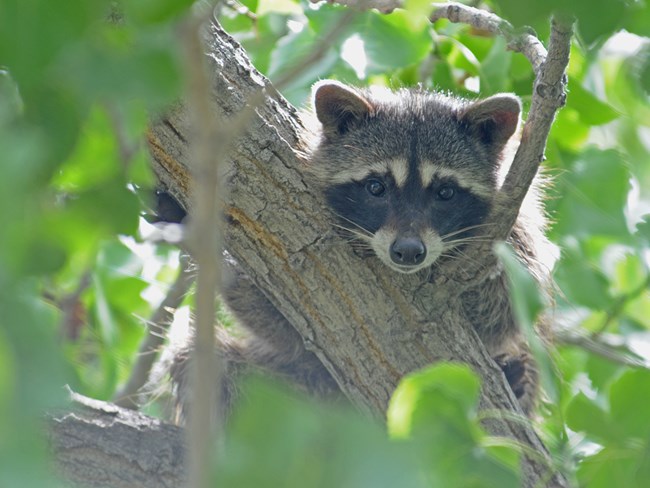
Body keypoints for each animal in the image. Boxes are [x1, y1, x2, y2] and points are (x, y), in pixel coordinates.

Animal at [167, 80, 552, 420]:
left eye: (445, 192)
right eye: (376, 187)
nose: (408, 251)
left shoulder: (518, 231)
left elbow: (503, 309)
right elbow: (279, 324)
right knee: (201, 362)